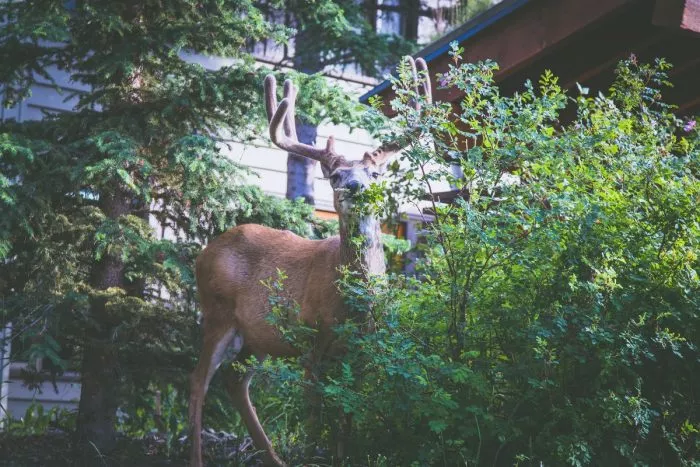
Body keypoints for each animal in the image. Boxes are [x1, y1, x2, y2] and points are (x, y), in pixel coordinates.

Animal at [188, 57, 432, 467]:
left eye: (375, 173)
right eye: (335, 175)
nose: (354, 187)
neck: (353, 305)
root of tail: (205, 251)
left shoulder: (362, 352)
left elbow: (348, 419)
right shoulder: (312, 342)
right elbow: (316, 421)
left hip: (257, 336)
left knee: (234, 380)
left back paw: (273, 458)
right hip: (217, 313)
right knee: (197, 385)